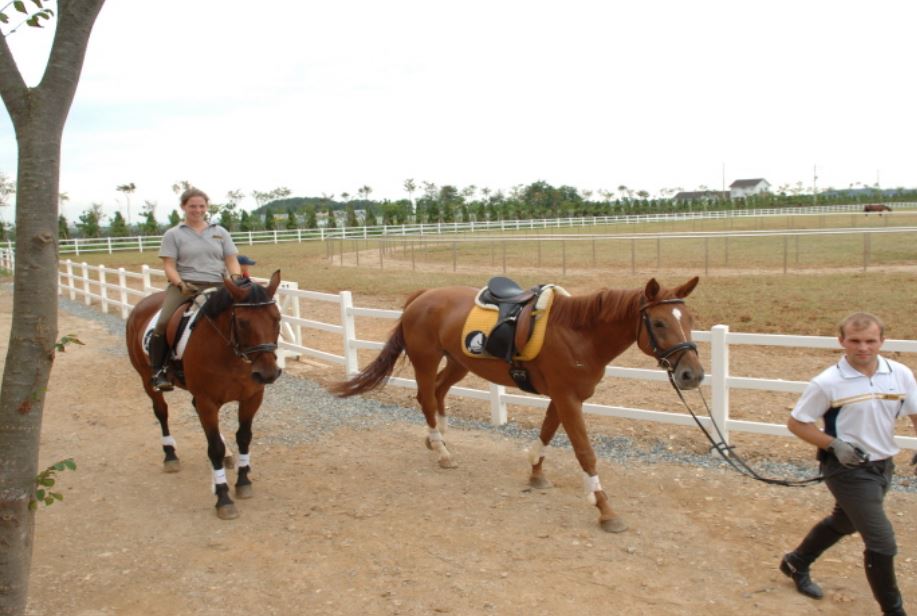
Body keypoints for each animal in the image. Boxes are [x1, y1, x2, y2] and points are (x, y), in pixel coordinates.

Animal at [125, 272, 282, 516]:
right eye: (242, 322)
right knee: (161, 412)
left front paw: (243, 481)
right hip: (147, 379)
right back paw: (170, 455)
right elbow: (214, 448)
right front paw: (223, 498)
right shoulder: (207, 401)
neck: (230, 354)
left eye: (277, 319)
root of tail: (142, 304)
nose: (267, 373)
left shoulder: (252, 398)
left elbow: (244, 437)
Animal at [332, 276, 704, 532]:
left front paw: (536, 473)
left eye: (689, 320)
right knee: (425, 397)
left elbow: (547, 433)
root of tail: (422, 296)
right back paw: (442, 451)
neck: (579, 332)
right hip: (426, 360)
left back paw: (437, 438)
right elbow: (585, 452)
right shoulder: (568, 398)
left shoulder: (563, 397)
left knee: (438, 393)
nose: (693, 374)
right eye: (659, 322)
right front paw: (605, 510)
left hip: (458, 362)